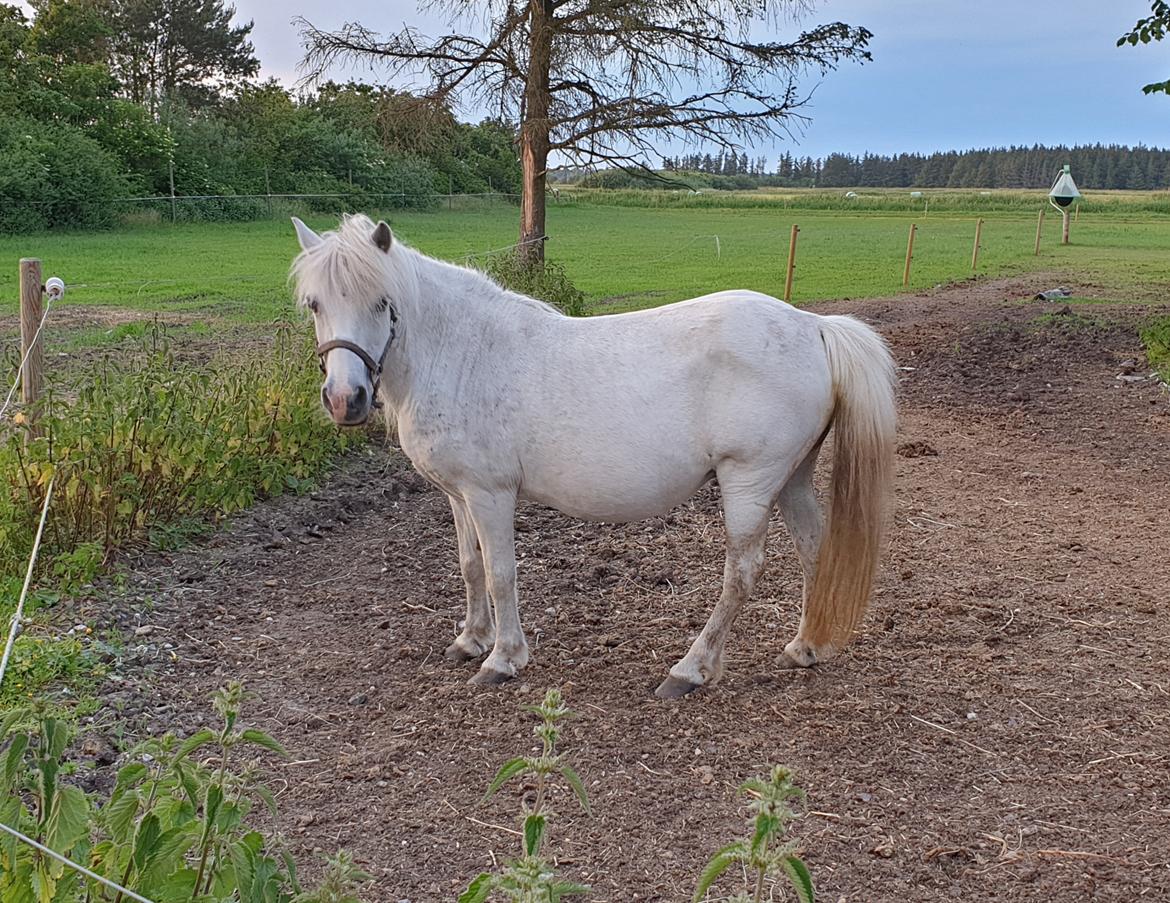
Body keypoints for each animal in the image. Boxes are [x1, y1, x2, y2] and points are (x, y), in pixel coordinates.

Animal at [290, 212, 893, 697]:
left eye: (382, 302)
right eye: (315, 304)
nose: (345, 400)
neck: (464, 353)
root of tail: (813, 326)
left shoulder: (490, 495)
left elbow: (501, 572)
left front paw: (502, 659)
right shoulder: (459, 496)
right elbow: (469, 566)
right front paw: (470, 640)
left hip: (749, 482)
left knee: (741, 573)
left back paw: (690, 670)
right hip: (791, 479)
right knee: (815, 549)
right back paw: (806, 647)